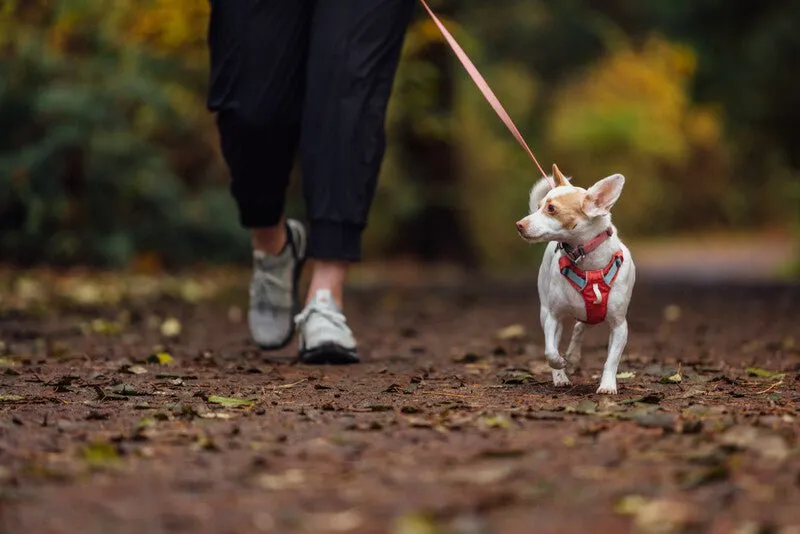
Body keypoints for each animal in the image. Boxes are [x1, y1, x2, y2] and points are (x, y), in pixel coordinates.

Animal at [520, 165, 636, 396]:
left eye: (551, 209)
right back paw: (563, 373)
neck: (588, 264)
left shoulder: (619, 326)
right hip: (545, 309)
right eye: (538, 207)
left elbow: (612, 359)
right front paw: (560, 365)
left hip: (592, 315)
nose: (519, 224)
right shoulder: (553, 317)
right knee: (565, 335)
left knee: (579, 328)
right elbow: (550, 351)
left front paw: (607, 385)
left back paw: (573, 358)